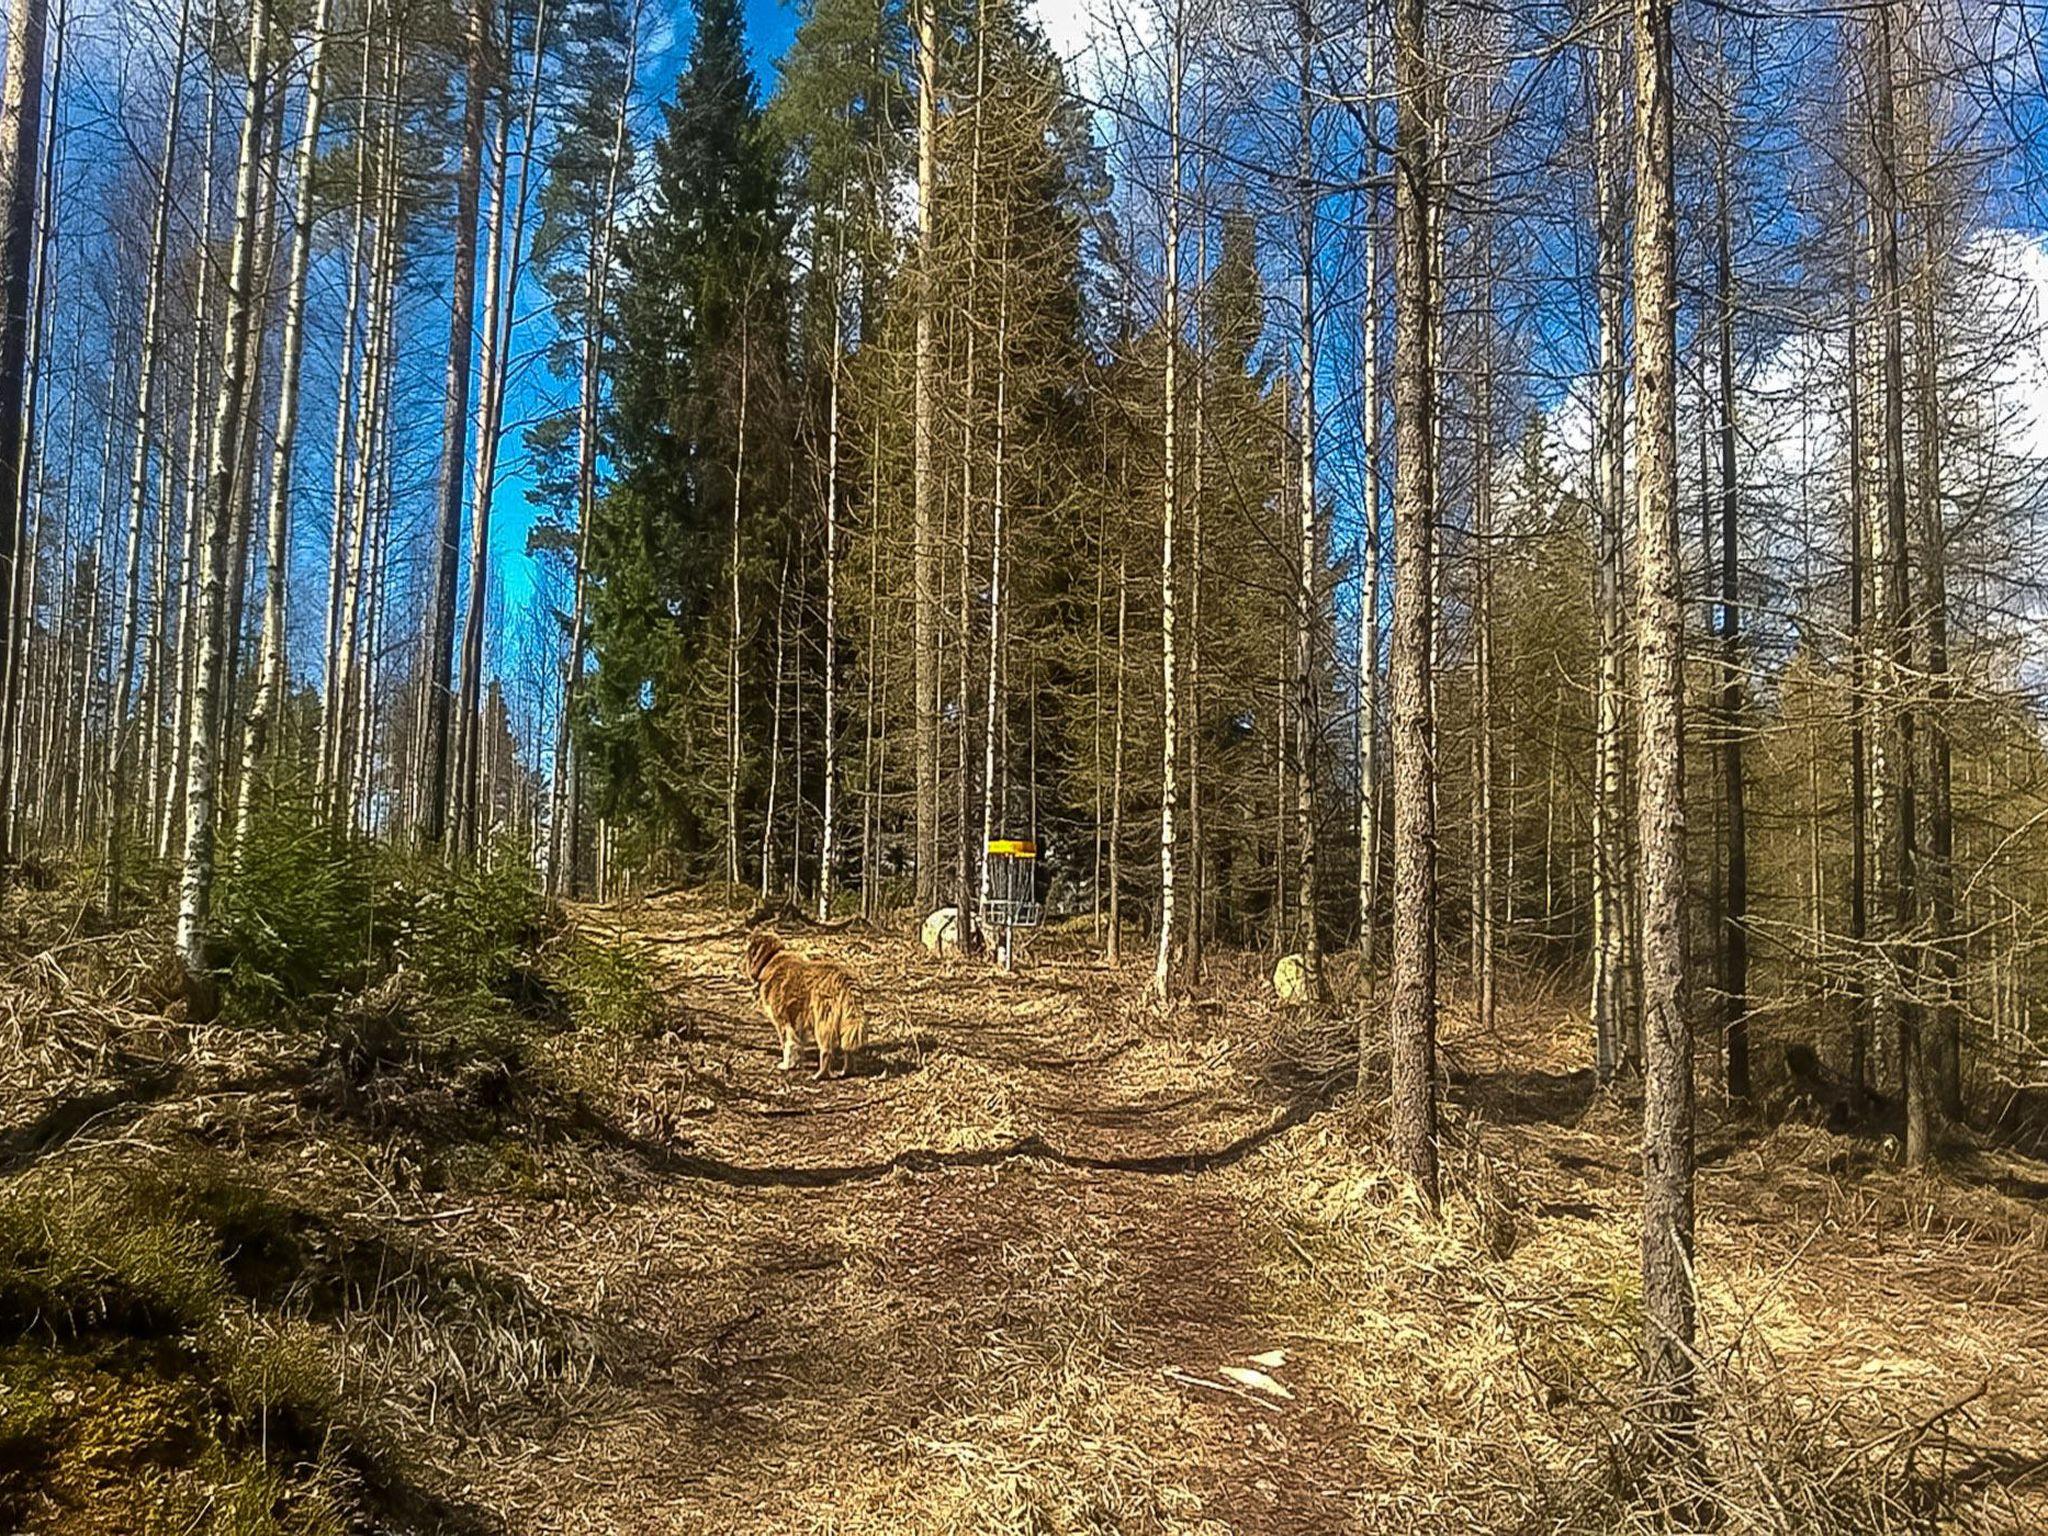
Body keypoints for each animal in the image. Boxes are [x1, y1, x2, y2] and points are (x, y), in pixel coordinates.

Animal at [745, 925, 864, 1081]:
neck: (771, 958)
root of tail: (845, 977)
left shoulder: (782, 1021)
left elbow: (787, 1044)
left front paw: (786, 1065)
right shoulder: (796, 1022)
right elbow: (797, 1044)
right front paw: (795, 1064)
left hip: (823, 1022)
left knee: (826, 1051)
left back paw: (819, 1075)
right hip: (845, 1020)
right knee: (848, 1050)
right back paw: (847, 1071)